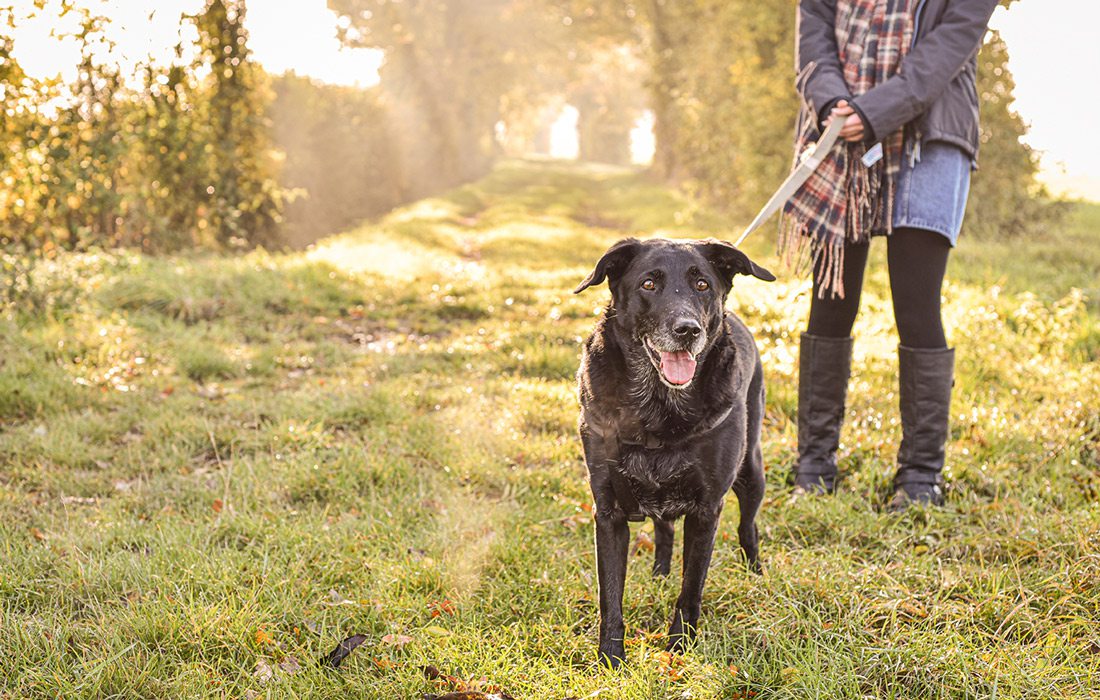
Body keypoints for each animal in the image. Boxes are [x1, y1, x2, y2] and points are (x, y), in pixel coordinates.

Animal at [576, 238, 774, 669]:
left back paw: (755, 575)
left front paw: (679, 648)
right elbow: (610, 595)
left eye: (702, 285)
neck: (658, 407)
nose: (688, 330)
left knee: (747, 527)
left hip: (751, 470)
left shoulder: (706, 510)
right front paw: (610, 658)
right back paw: (660, 574)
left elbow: (691, 589)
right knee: (664, 530)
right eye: (649, 283)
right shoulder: (609, 512)